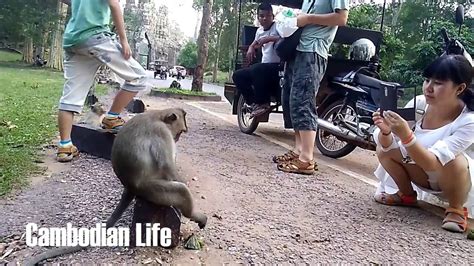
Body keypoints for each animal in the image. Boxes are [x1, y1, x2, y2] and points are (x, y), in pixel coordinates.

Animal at [25, 107, 207, 264]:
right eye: (180, 131)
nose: (177, 138)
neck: (158, 116)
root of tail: (129, 185)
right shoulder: (161, 132)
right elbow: (167, 167)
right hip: (150, 189)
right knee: (180, 191)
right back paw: (194, 214)